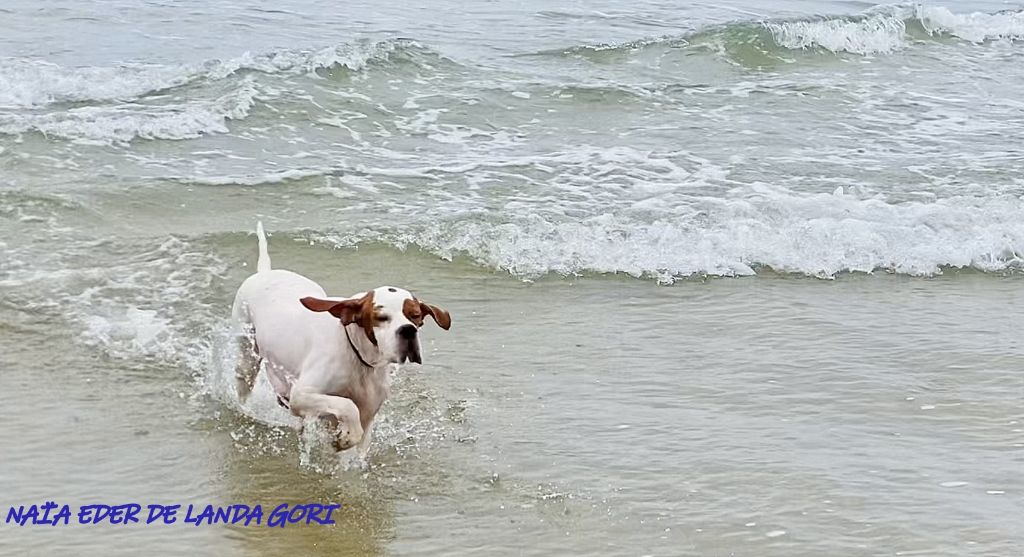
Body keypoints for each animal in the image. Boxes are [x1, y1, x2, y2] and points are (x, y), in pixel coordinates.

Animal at [235, 223, 452, 456]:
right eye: (381, 317)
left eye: (415, 316)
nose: (408, 330)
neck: (360, 359)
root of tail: (265, 272)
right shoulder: (302, 395)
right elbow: (348, 406)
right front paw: (345, 438)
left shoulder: (367, 413)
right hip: (246, 359)